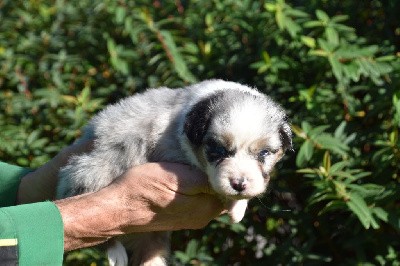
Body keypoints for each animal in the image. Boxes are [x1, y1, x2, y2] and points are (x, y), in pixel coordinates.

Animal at [56, 79, 292, 266]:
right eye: (218, 150)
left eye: (264, 153)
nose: (239, 184)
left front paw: (238, 206)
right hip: (93, 170)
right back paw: (116, 252)